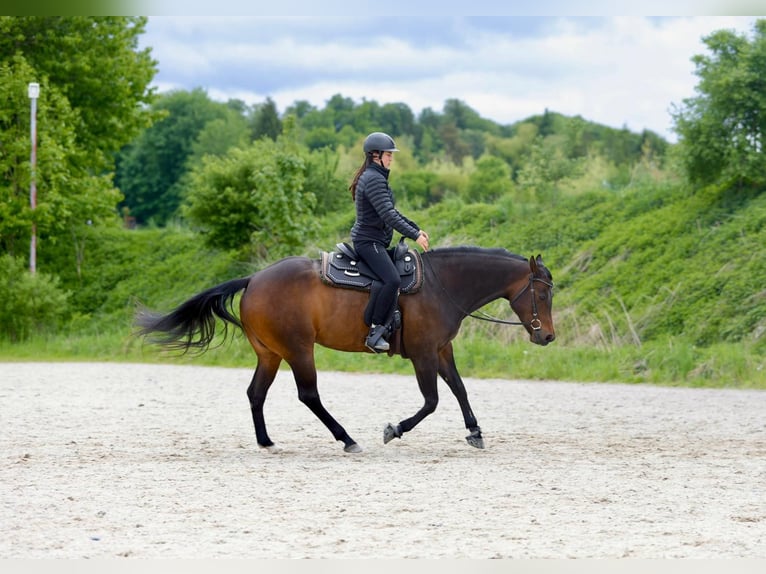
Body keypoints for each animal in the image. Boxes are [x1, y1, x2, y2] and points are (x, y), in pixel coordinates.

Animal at [135, 245, 555, 452]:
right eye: (542, 294)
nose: (548, 337)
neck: (441, 285)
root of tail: (253, 279)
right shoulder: (423, 353)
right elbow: (432, 401)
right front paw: (393, 430)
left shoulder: (440, 349)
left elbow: (460, 389)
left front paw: (475, 432)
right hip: (298, 350)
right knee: (309, 395)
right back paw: (347, 439)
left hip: (270, 353)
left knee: (256, 393)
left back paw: (266, 441)